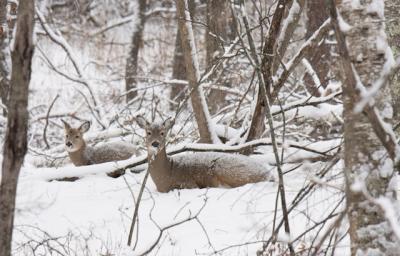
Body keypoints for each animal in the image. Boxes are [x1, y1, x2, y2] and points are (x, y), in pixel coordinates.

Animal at [136, 115, 274, 192]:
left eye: (162, 133)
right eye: (148, 132)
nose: (155, 144)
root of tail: (269, 174)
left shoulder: (187, 183)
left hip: (225, 168)